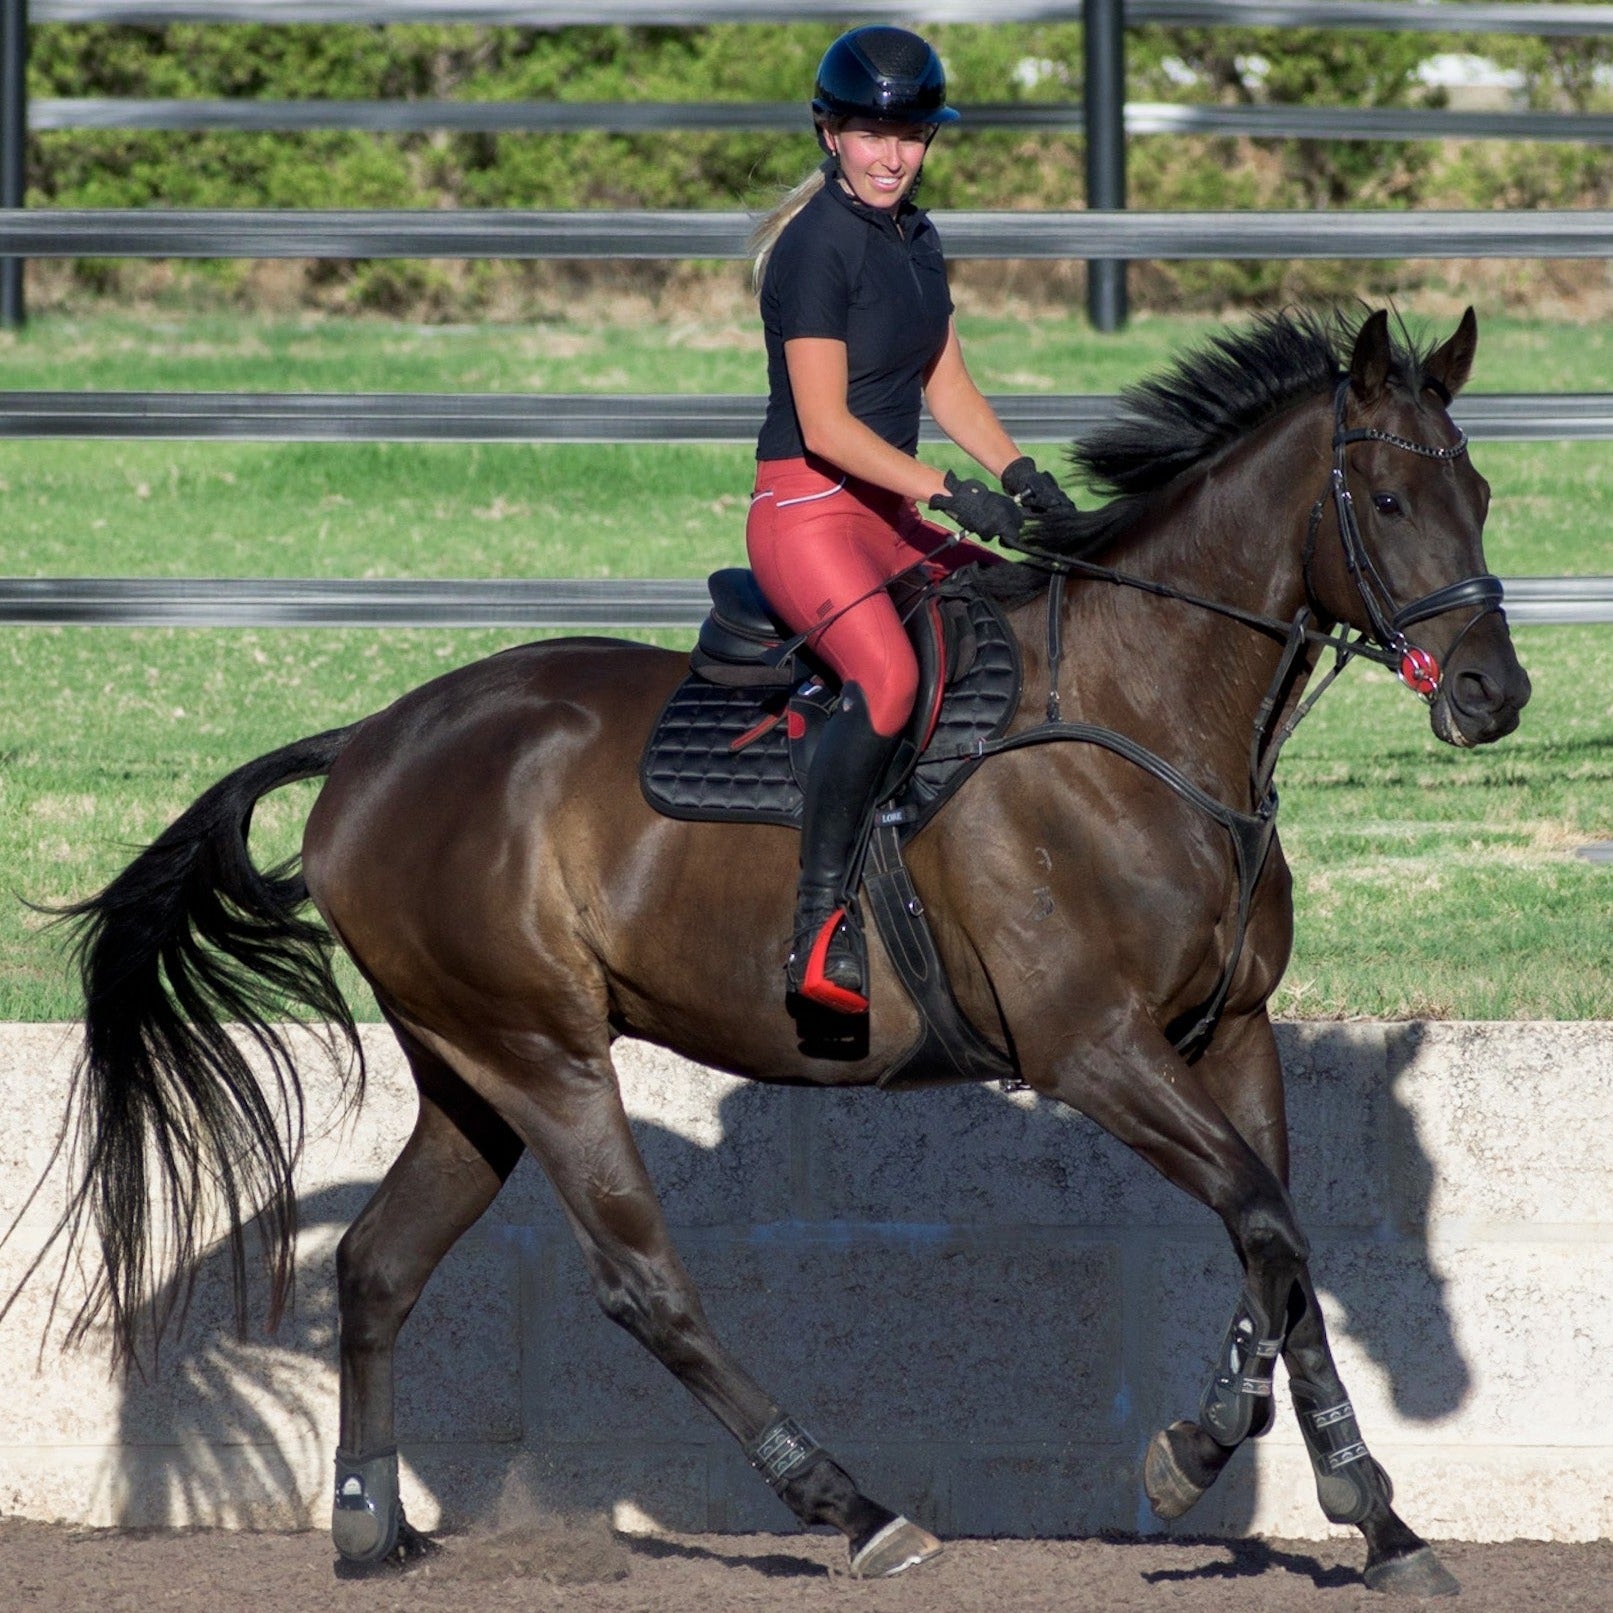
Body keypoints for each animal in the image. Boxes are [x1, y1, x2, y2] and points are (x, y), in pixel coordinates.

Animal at [34, 308, 1522, 1593]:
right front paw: (1232, 1459)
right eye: (1391, 505)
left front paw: (1353, 1506)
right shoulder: (1093, 1048)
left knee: (379, 1265)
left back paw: (370, 1528)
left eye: (1482, 494)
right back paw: (851, 1508)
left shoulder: (1230, 1032)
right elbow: (1264, 1225)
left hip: (470, 1072)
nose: (1492, 693)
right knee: (644, 1284)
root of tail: (371, 745)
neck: (1141, 709)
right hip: (546, 1057)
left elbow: (1278, 1246)